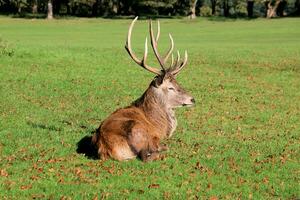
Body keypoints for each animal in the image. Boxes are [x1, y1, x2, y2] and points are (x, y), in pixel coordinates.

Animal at [92, 16, 195, 162]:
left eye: (177, 83)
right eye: (170, 87)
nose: (192, 99)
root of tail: (107, 148)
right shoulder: (155, 134)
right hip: (138, 130)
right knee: (146, 156)